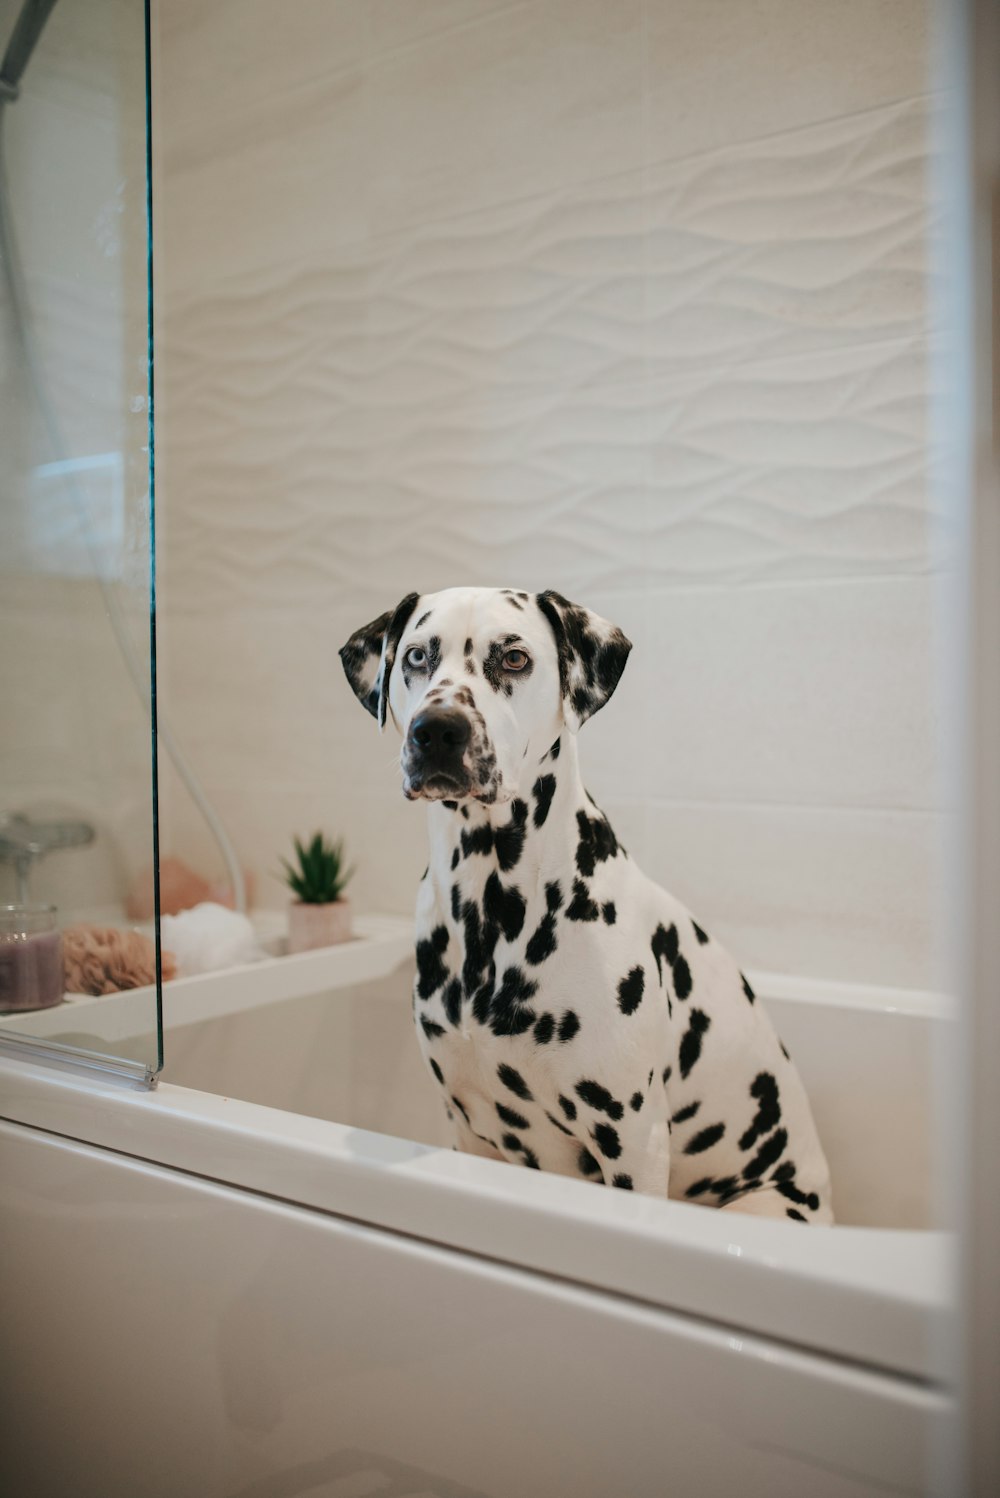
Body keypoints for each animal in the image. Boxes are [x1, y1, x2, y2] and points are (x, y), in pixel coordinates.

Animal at [339, 581, 832, 1216]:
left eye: (514, 658)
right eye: (417, 656)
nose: (437, 730)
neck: (490, 909)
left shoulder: (633, 1141)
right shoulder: (469, 1134)